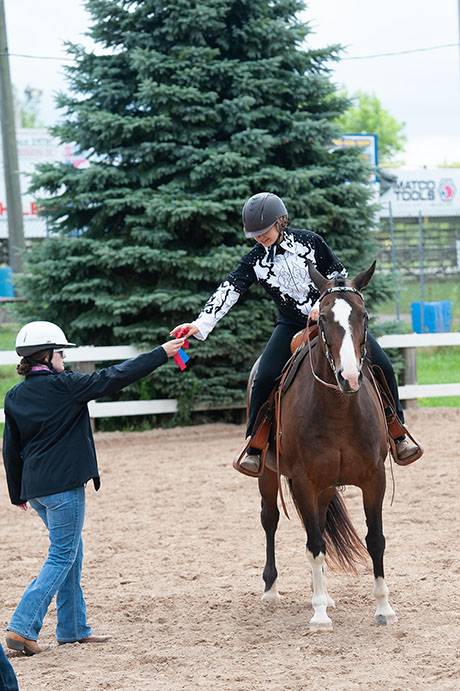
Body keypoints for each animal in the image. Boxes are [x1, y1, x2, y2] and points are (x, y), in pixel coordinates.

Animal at [255, 262, 396, 628]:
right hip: (268, 476)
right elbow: (315, 543)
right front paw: (318, 614)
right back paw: (271, 590)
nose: (349, 376)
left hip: (326, 487)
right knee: (271, 519)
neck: (339, 410)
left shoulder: (374, 478)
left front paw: (384, 608)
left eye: (364, 315)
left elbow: (375, 540)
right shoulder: (303, 481)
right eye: (324, 320)